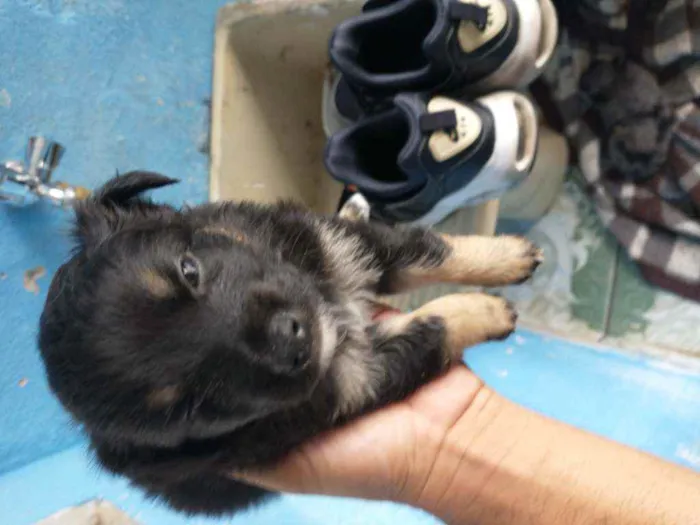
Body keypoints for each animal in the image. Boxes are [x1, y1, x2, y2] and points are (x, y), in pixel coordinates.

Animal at [37, 173, 540, 516]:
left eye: (189, 270)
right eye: (188, 406)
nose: (290, 339)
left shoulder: (330, 243)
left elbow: (424, 252)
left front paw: (509, 256)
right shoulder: (355, 380)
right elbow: (431, 327)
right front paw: (487, 312)